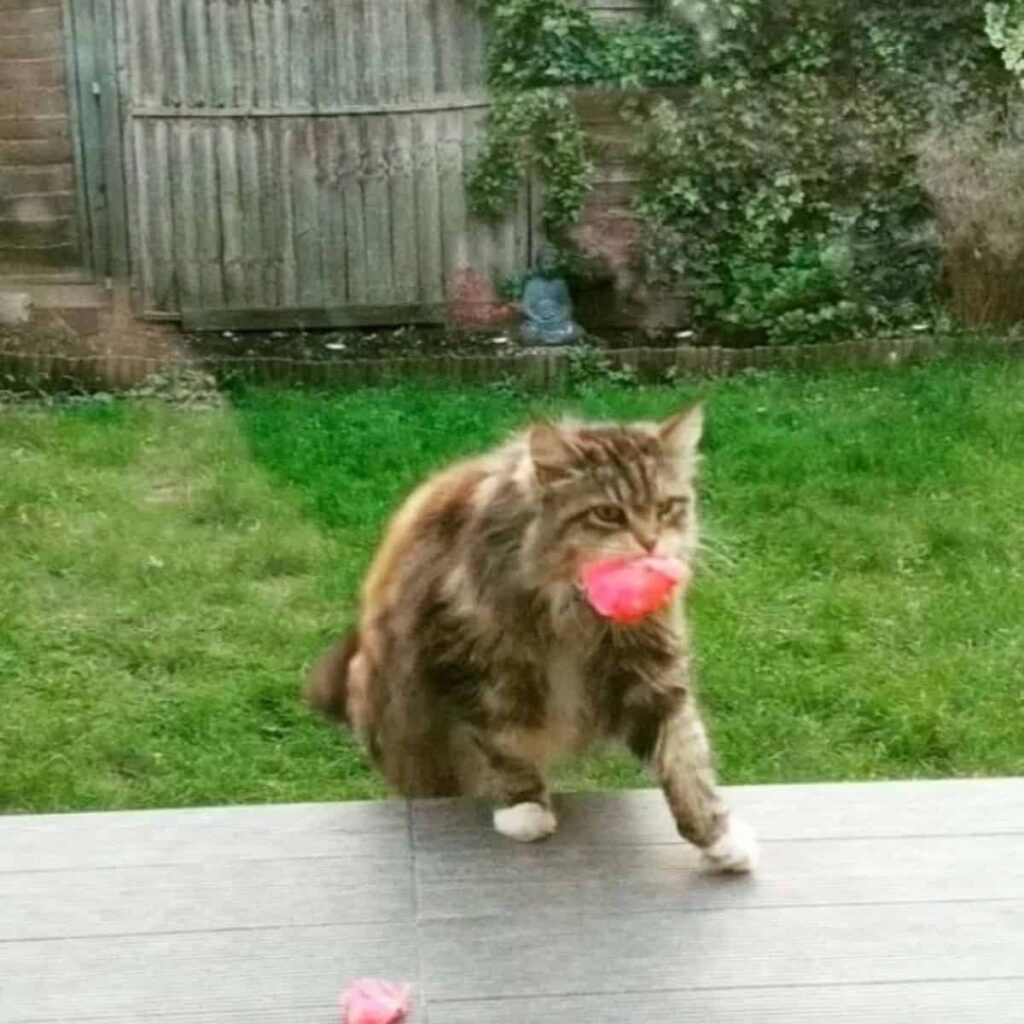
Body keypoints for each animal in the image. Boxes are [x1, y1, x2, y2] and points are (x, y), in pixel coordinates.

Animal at [303, 407, 753, 872]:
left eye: (666, 507)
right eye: (608, 513)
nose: (650, 543)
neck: (574, 607)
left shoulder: (652, 670)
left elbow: (685, 758)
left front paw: (719, 837)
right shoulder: (476, 663)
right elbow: (504, 743)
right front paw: (524, 809)